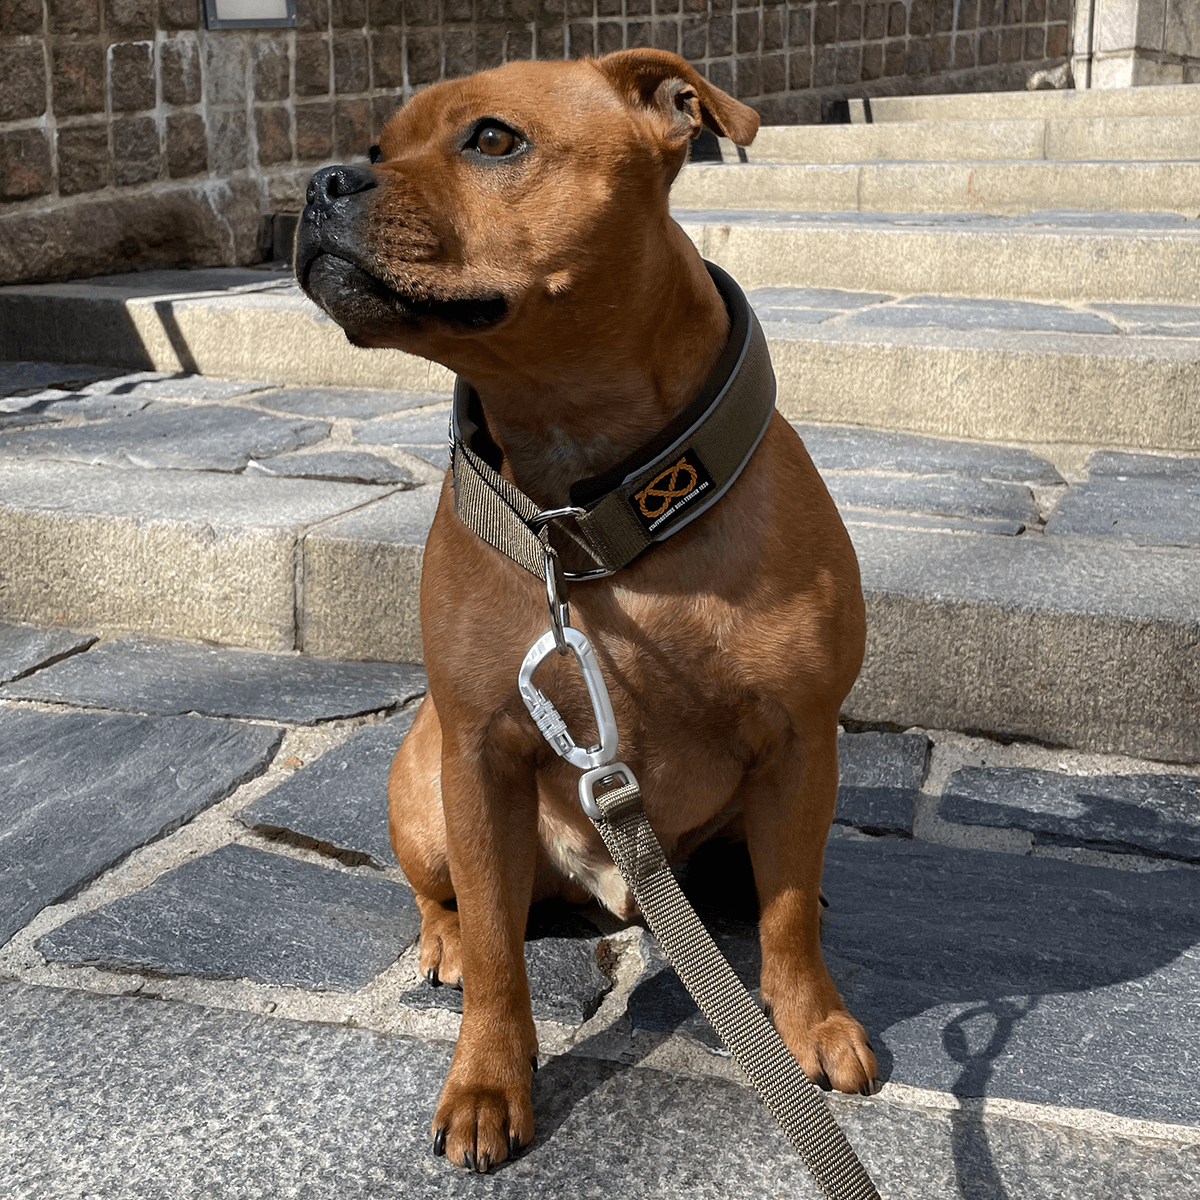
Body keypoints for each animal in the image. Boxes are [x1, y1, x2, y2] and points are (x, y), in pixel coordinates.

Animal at [295, 46, 878, 1171]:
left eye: (492, 139)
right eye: (379, 144)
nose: (320, 181)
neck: (592, 508)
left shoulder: (801, 740)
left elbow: (787, 918)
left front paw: (813, 1022)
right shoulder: (479, 751)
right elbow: (496, 952)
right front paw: (488, 1079)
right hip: (424, 786)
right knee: (445, 899)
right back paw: (438, 940)